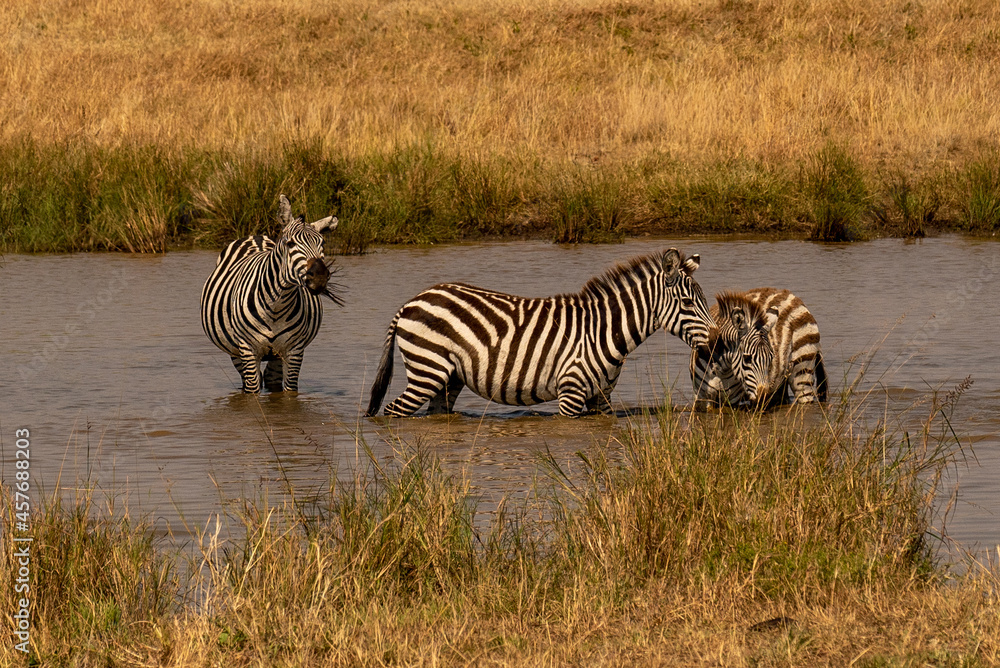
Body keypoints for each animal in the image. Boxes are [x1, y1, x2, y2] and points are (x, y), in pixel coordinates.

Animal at [201, 194, 342, 394]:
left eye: (323, 244)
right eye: (290, 244)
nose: (320, 277)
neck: (277, 305)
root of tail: (255, 236)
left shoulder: (294, 350)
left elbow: (290, 394)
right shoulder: (247, 349)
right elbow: (252, 391)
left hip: (276, 355)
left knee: (271, 378)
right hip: (234, 351)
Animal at [366, 249, 714, 418]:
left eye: (704, 301)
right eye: (687, 303)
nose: (713, 344)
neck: (604, 331)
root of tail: (411, 302)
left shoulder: (601, 398)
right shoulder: (571, 393)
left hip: (448, 379)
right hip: (428, 370)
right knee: (394, 410)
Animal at [690, 288, 827, 409]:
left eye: (771, 358)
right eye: (746, 358)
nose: (762, 398)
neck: (719, 370)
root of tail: (792, 296)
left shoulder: (733, 400)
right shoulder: (701, 398)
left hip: (802, 371)